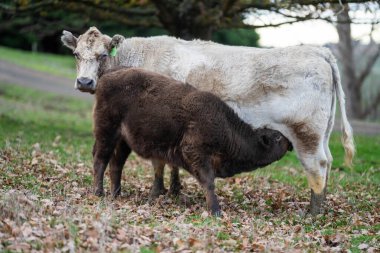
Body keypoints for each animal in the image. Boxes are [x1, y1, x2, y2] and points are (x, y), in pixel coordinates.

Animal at [92, 67, 290, 215]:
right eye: (277, 137)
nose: (290, 143)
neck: (225, 126)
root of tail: (107, 75)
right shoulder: (196, 153)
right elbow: (208, 182)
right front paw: (215, 211)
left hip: (123, 142)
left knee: (116, 164)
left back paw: (116, 194)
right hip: (107, 133)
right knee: (100, 160)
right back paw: (99, 193)